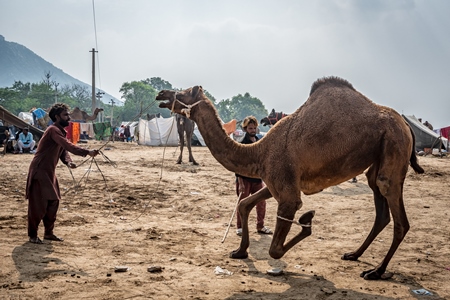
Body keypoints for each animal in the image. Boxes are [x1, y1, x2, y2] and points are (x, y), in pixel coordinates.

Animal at [157, 76, 426, 280]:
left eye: (184, 92)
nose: (161, 93)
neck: (258, 151)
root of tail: (405, 124)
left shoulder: (286, 191)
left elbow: (275, 250)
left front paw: (307, 221)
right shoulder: (274, 180)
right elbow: (244, 204)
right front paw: (239, 251)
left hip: (393, 143)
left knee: (396, 209)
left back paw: (376, 271)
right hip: (378, 156)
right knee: (379, 204)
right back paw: (354, 255)